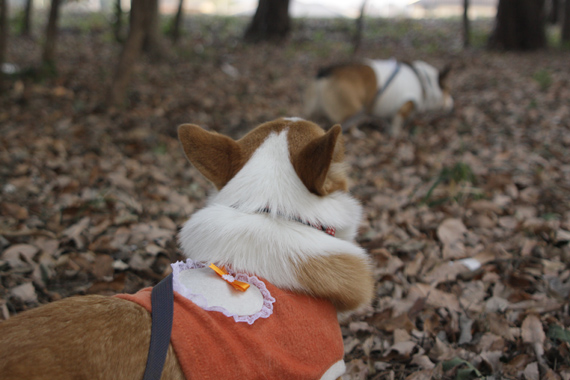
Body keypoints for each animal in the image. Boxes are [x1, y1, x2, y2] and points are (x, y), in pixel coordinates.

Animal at [302, 58, 452, 136]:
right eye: (448, 90)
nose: (452, 104)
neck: (424, 82)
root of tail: (325, 73)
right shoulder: (404, 106)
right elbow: (397, 123)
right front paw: (396, 134)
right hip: (353, 109)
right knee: (348, 125)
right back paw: (358, 134)